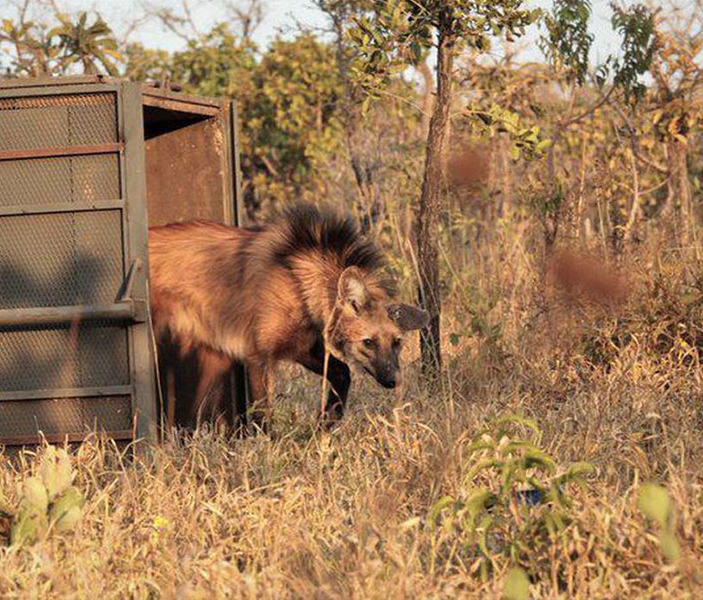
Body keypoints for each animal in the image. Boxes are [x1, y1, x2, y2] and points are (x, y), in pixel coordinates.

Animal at [148, 203, 428, 432]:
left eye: (397, 343)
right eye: (368, 342)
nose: (393, 380)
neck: (298, 284)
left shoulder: (300, 346)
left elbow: (342, 372)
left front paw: (325, 425)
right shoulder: (258, 357)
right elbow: (263, 416)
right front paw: (267, 452)